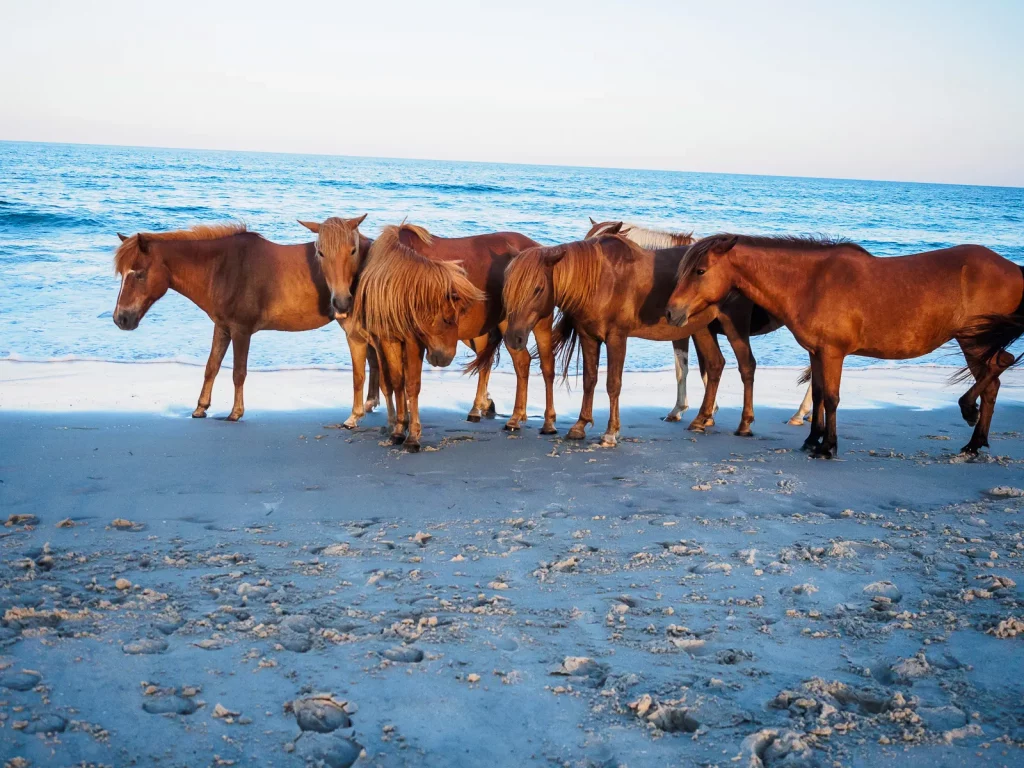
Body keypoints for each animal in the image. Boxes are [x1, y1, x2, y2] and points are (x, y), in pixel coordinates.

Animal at [112, 220, 379, 425]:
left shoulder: (241, 331)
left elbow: (238, 372)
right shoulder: (222, 327)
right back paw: (370, 403)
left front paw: (235, 413)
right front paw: (200, 408)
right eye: (123, 273)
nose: (120, 319)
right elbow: (211, 367)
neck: (223, 268)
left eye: (139, 274)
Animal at [349, 223, 557, 450]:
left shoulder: (414, 342)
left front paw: (413, 436)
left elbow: (412, 386)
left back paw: (546, 423)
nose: (443, 357)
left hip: (536, 324)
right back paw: (510, 417)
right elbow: (397, 383)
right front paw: (398, 430)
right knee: (517, 363)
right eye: (447, 319)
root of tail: (538, 248)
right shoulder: (389, 339)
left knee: (544, 365)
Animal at [503, 229, 783, 446]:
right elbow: (589, 380)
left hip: (733, 327)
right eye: (508, 288)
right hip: (702, 328)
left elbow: (613, 384)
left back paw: (744, 424)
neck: (601, 281)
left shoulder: (617, 337)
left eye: (538, 288)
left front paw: (610, 433)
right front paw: (580, 426)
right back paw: (700, 420)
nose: (513, 338)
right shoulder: (588, 336)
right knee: (715, 365)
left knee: (746, 366)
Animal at [585, 218, 813, 425]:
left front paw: (683, 410)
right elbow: (704, 366)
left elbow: (685, 367)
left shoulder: (685, 331)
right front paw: (708, 411)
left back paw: (800, 413)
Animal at [666, 234, 1024, 457]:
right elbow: (819, 395)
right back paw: (974, 444)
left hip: (974, 340)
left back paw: (968, 411)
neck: (811, 282)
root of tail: (1013, 268)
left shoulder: (833, 353)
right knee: (994, 379)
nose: (671, 311)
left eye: (700, 271)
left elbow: (833, 398)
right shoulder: (816, 352)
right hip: (975, 342)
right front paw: (812, 440)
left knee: (999, 367)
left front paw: (828, 447)